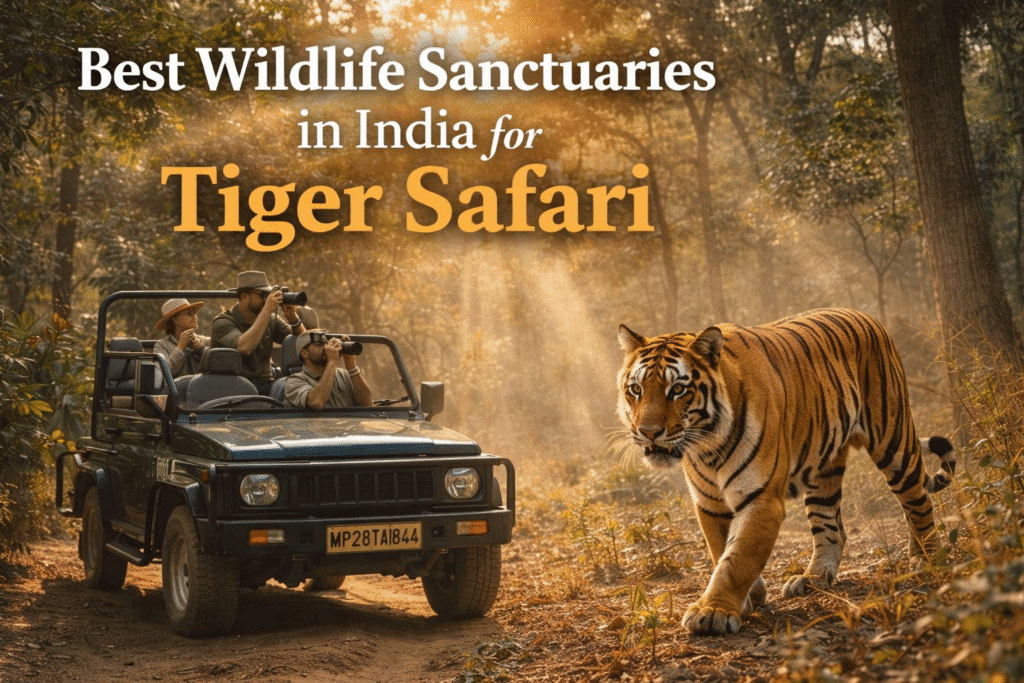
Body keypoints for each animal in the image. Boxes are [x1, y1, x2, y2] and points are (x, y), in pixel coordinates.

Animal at [616, 308, 955, 635]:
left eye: (677, 389)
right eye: (636, 389)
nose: (648, 432)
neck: (706, 445)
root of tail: (868, 316)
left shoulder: (761, 499)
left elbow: (737, 560)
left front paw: (713, 612)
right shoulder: (710, 504)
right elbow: (721, 551)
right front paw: (750, 598)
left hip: (894, 443)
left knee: (918, 502)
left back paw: (926, 559)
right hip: (823, 472)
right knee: (832, 528)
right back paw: (813, 578)